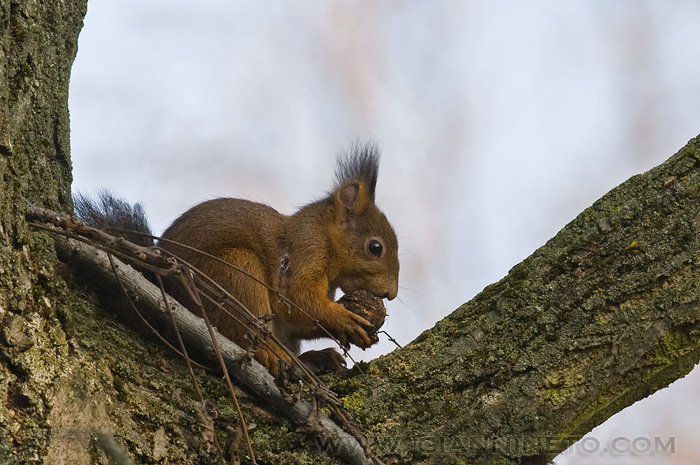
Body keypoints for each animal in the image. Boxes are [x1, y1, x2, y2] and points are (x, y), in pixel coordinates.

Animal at [76, 144, 400, 374]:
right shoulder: (305, 252)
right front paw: (344, 318)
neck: (324, 234)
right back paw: (274, 355)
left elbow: (298, 320)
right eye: (375, 247)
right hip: (236, 275)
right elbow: (296, 301)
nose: (391, 294)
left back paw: (314, 359)